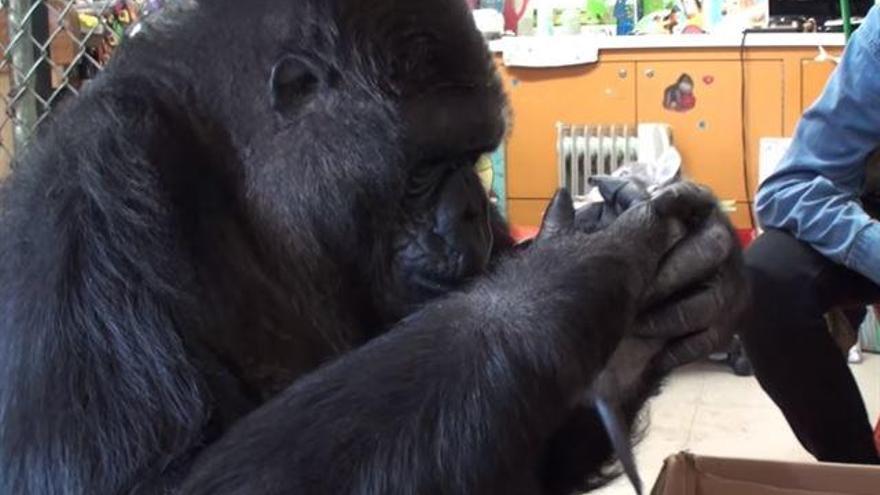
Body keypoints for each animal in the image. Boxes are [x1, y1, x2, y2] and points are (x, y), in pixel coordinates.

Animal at [0, 0, 744, 495]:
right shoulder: (93, 198)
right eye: (424, 166)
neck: (246, 184)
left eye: (477, 155)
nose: (472, 210)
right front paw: (561, 277)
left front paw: (638, 342)